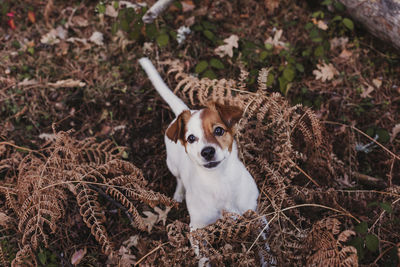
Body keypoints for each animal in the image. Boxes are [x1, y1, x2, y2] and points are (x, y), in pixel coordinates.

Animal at [140, 57, 260, 231]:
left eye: (218, 130)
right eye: (191, 138)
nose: (207, 152)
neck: (219, 181)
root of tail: (186, 111)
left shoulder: (254, 212)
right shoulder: (196, 228)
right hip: (172, 165)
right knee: (179, 179)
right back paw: (178, 194)